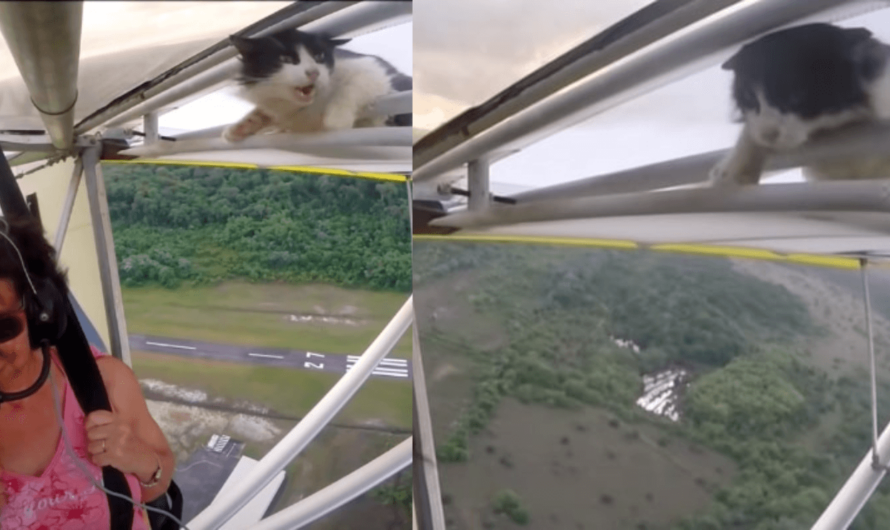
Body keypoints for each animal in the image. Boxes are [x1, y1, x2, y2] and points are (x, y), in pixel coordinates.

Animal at [222, 28, 410, 142]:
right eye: (286, 59)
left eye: (319, 57)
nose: (314, 73)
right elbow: (260, 113)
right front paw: (239, 128)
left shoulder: (373, 68)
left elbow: (351, 87)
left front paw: (336, 119)